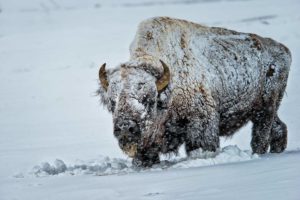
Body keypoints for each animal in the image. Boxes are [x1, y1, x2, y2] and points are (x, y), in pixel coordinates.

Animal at [97, 16, 292, 167]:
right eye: (112, 102)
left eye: (148, 99)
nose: (125, 127)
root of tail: (284, 50)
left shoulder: (201, 121)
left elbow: (201, 146)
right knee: (279, 127)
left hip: (266, 108)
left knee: (261, 135)